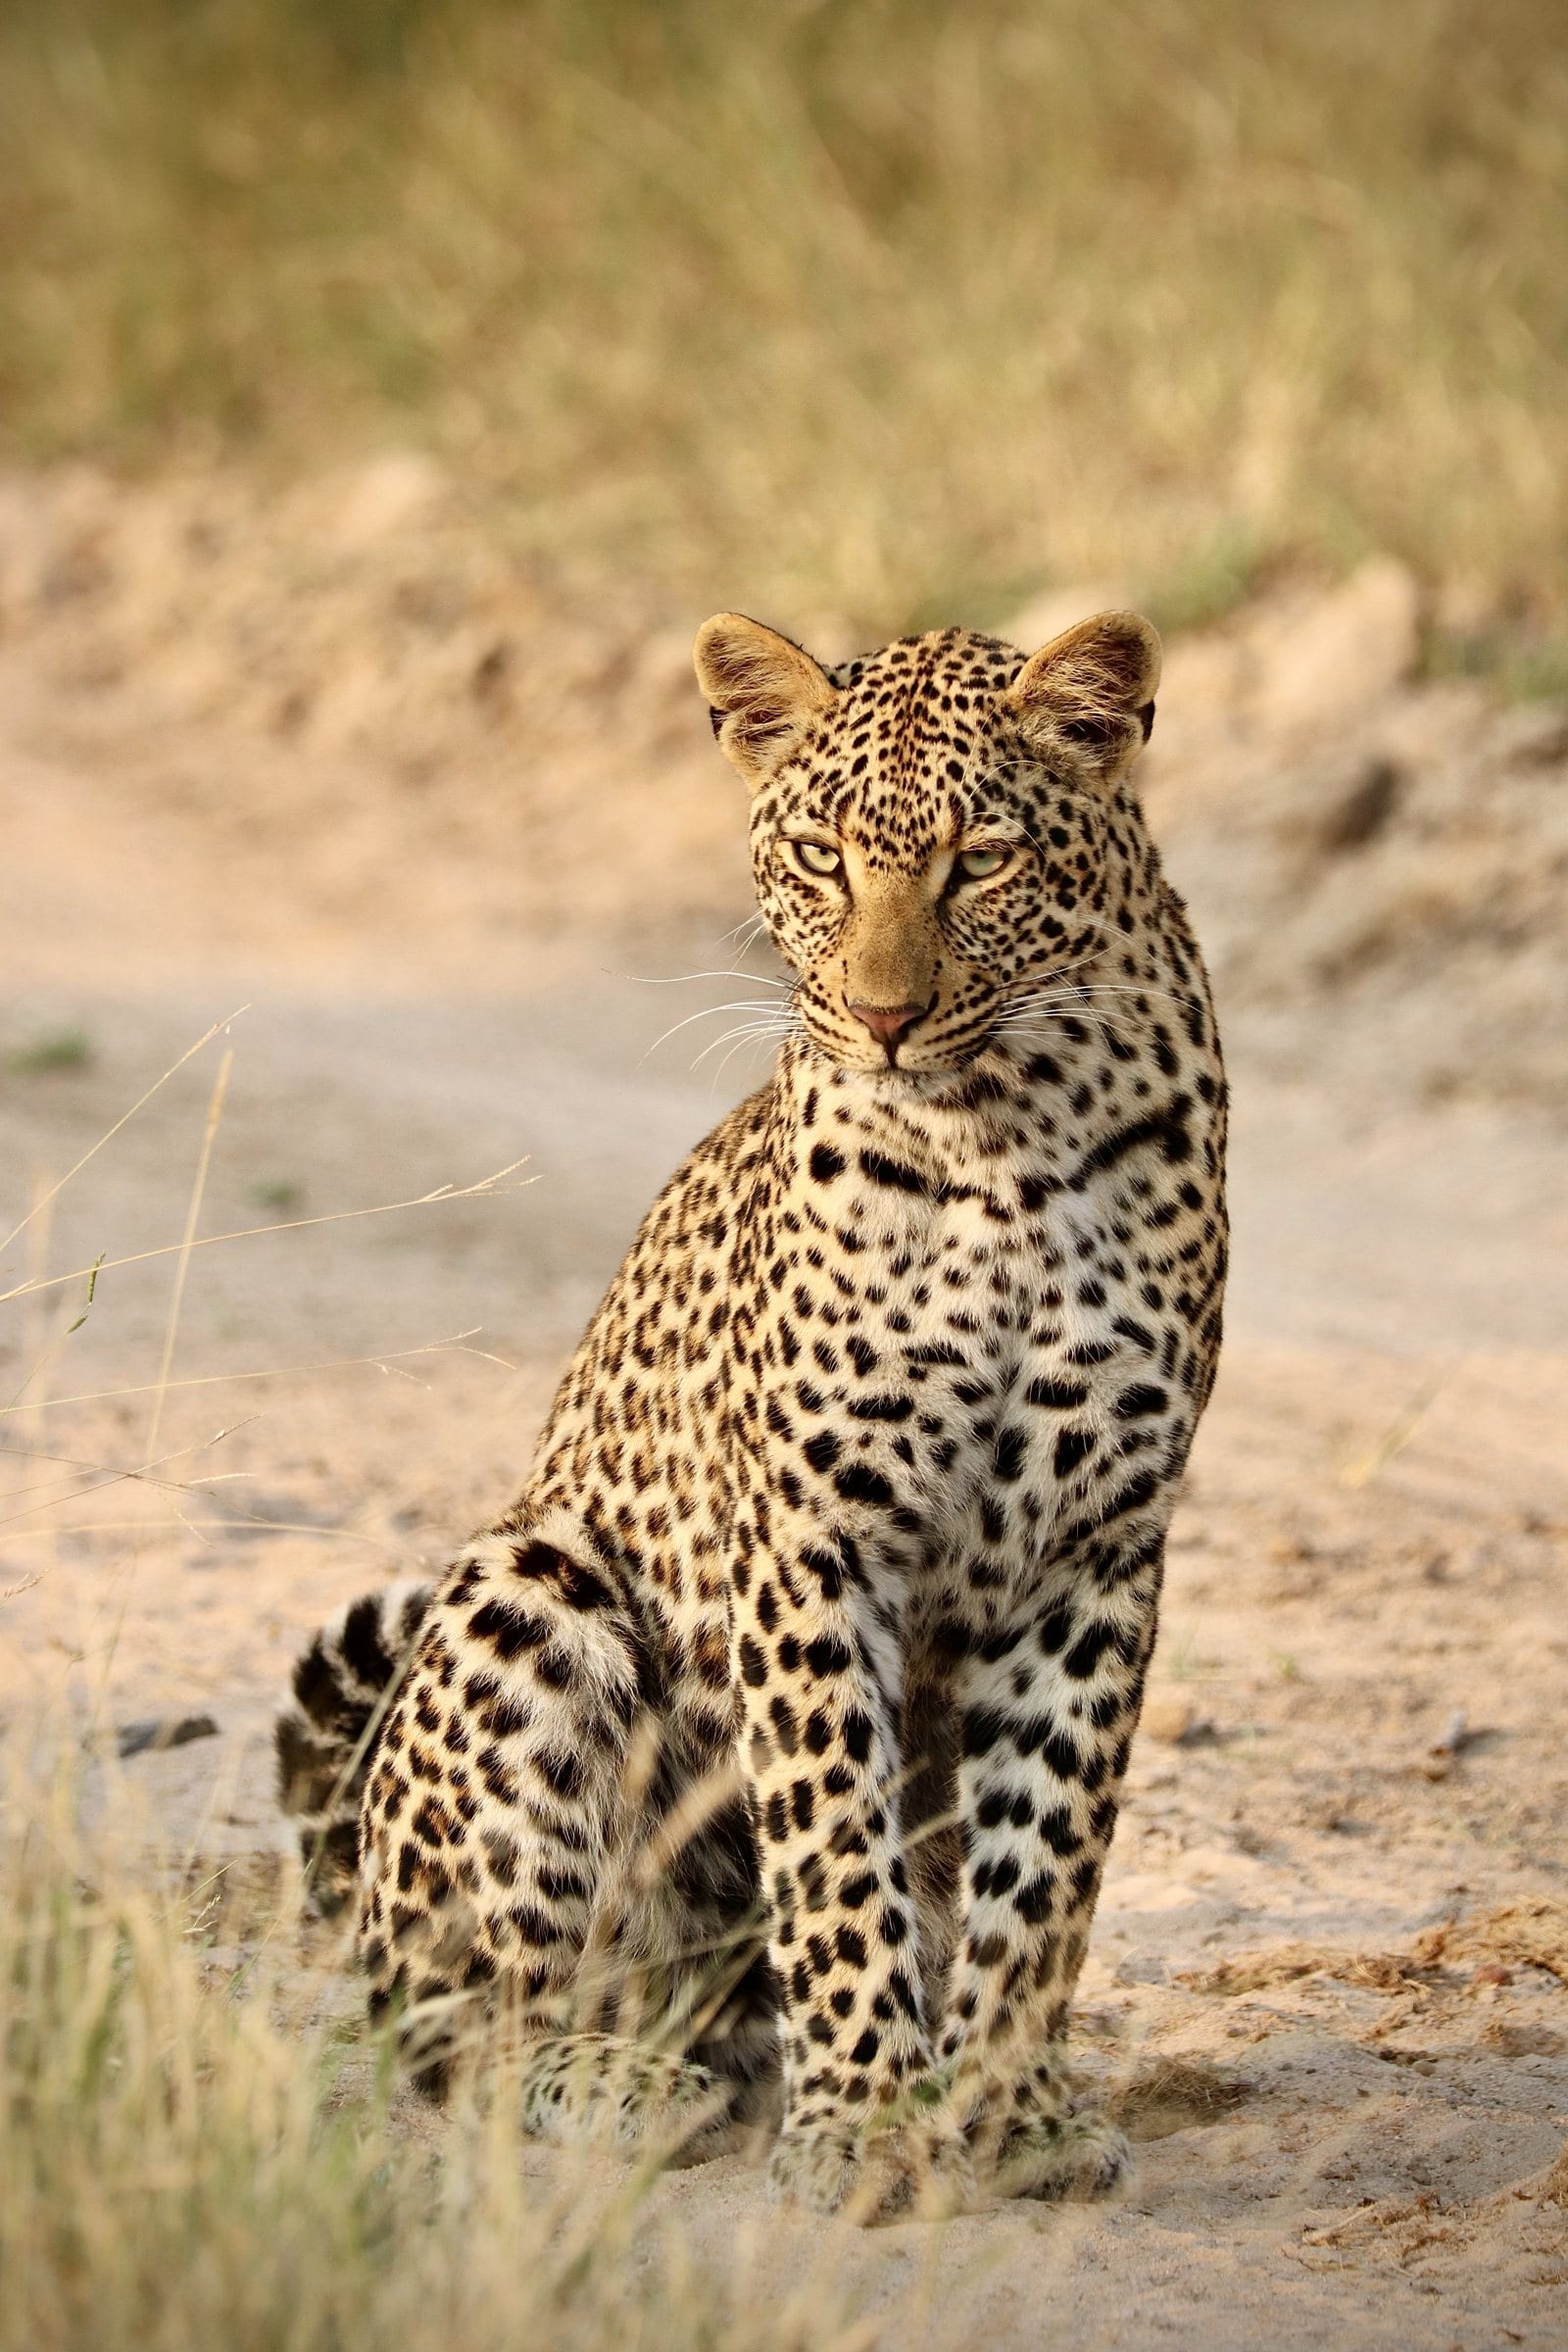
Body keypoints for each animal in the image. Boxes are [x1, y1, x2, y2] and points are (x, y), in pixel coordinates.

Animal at [276, 605, 1228, 2221]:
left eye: (983, 858)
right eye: (825, 859)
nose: (886, 1016)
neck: (1007, 1138)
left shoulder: (1096, 1547)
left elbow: (1045, 1862)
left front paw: (1009, 2111)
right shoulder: (811, 1539)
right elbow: (836, 1850)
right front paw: (866, 2125)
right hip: (529, 1595)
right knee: (464, 2024)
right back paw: (632, 2082)